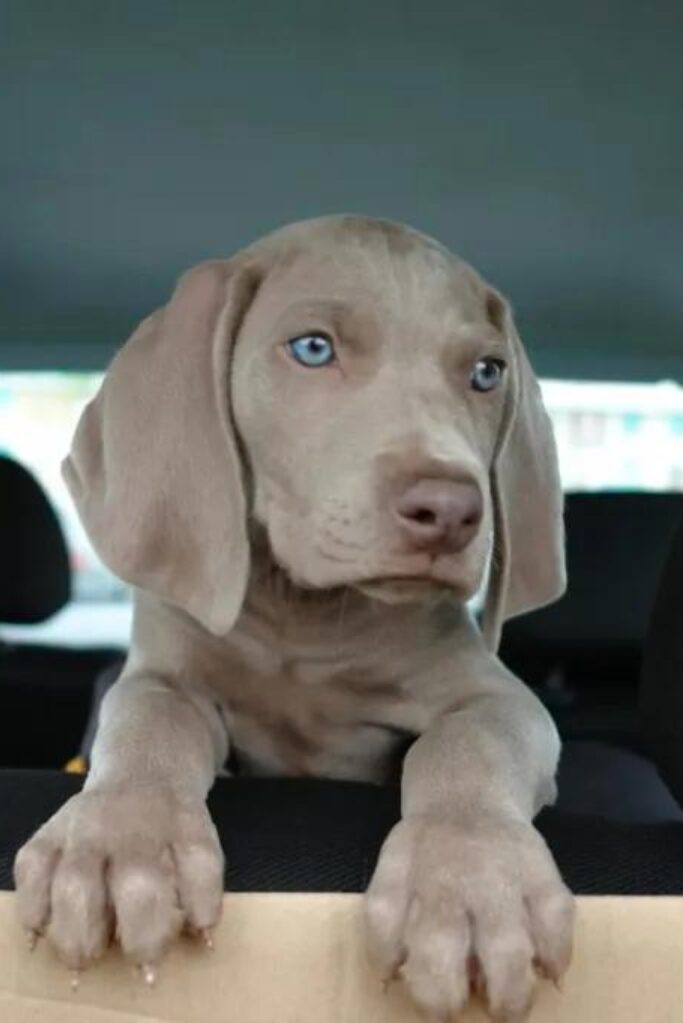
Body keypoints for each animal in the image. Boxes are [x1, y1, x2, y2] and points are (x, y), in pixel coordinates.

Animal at [14, 217, 572, 1023]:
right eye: (312, 348)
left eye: (486, 372)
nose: (451, 511)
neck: (305, 616)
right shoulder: (167, 675)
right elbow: (148, 720)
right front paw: (117, 839)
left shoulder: (498, 697)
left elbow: (466, 744)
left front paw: (469, 883)